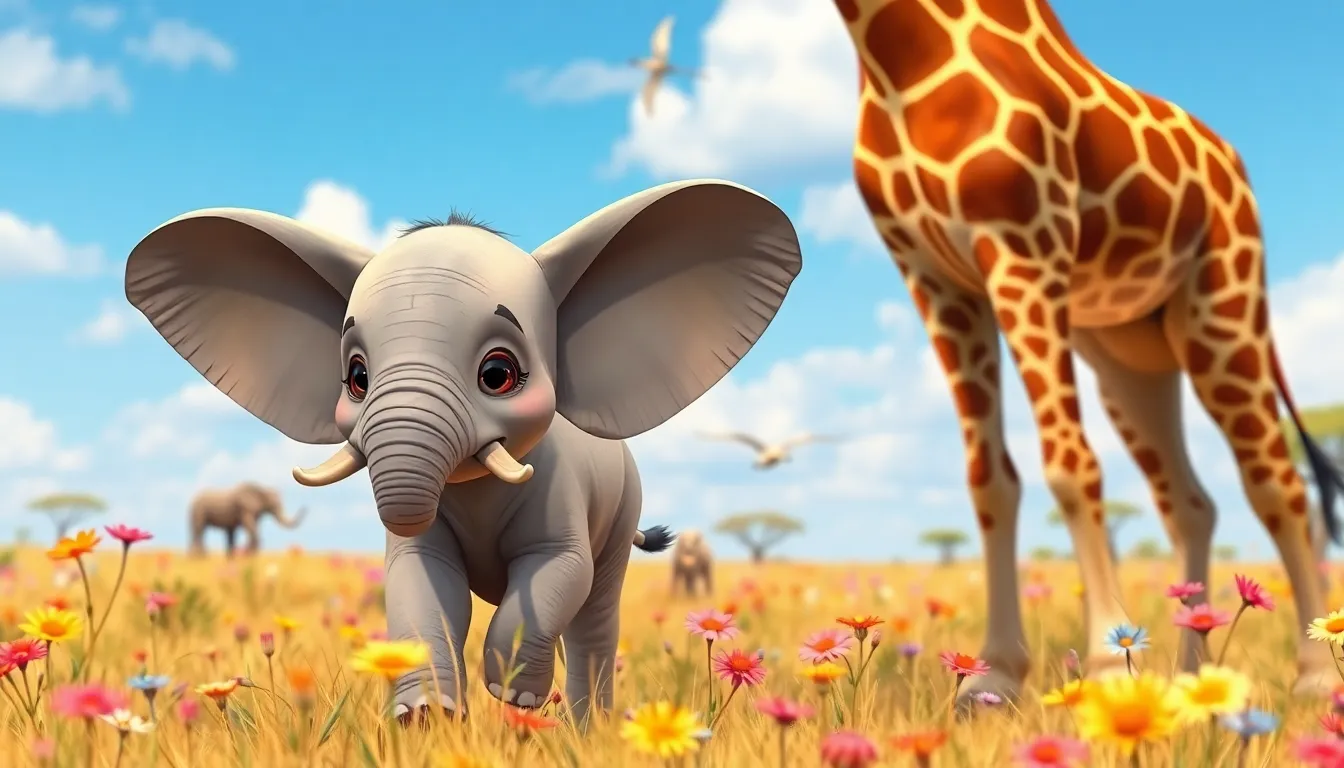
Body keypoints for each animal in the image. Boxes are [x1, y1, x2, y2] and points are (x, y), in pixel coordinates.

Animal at [123, 179, 802, 727]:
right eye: (356, 378)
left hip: (622, 509)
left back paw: (589, 730)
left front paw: (516, 698)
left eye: (498, 374)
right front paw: (425, 718)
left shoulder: (563, 494)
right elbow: (420, 581)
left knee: (596, 612)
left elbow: (559, 569)